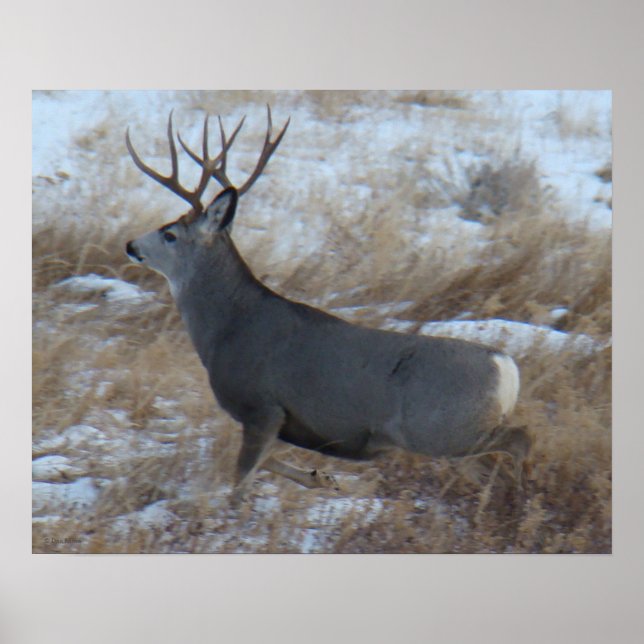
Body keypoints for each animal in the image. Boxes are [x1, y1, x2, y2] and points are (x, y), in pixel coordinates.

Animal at [125, 106, 532, 504]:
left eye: (170, 234)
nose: (130, 245)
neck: (228, 328)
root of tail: (506, 367)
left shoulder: (262, 406)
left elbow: (241, 479)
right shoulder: (279, 421)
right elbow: (267, 463)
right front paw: (323, 478)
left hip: (440, 428)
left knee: (520, 439)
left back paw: (523, 502)